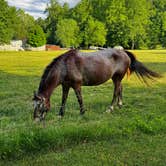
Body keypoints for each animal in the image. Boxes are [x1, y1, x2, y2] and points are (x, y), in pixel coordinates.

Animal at [32, 48, 161, 121]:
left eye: (39, 106)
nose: (35, 120)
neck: (65, 66)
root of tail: (123, 52)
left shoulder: (77, 85)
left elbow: (79, 99)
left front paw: (82, 113)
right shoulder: (66, 85)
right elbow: (64, 100)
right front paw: (60, 115)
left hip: (117, 78)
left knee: (116, 91)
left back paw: (110, 108)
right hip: (116, 78)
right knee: (120, 88)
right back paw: (119, 105)